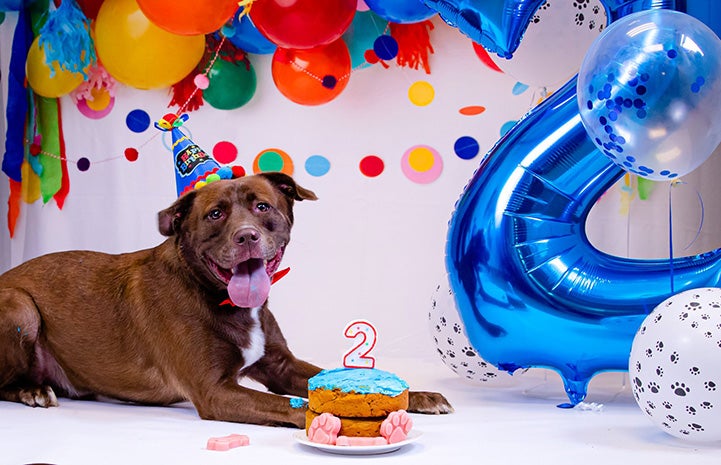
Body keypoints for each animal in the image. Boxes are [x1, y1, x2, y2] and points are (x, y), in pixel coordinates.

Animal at [0, 172, 450, 426]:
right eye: (215, 214)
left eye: (262, 206)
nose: (246, 236)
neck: (223, 300)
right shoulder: (215, 391)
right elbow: (295, 405)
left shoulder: (281, 365)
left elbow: (337, 376)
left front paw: (415, 397)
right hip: (21, 307)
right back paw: (33, 391)